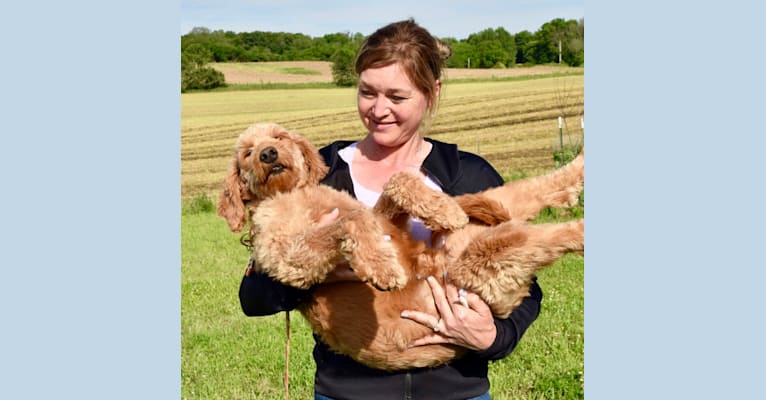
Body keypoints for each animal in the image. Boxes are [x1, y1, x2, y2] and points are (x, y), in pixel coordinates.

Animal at [219, 122, 584, 372]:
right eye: (247, 153)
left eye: (279, 137)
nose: (268, 153)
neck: (294, 195)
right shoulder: (290, 259)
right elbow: (349, 220)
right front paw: (381, 266)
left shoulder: (384, 219)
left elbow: (397, 181)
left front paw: (443, 209)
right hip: (482, 259)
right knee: (554, 230)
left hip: (495, 212)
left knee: (542, 187)